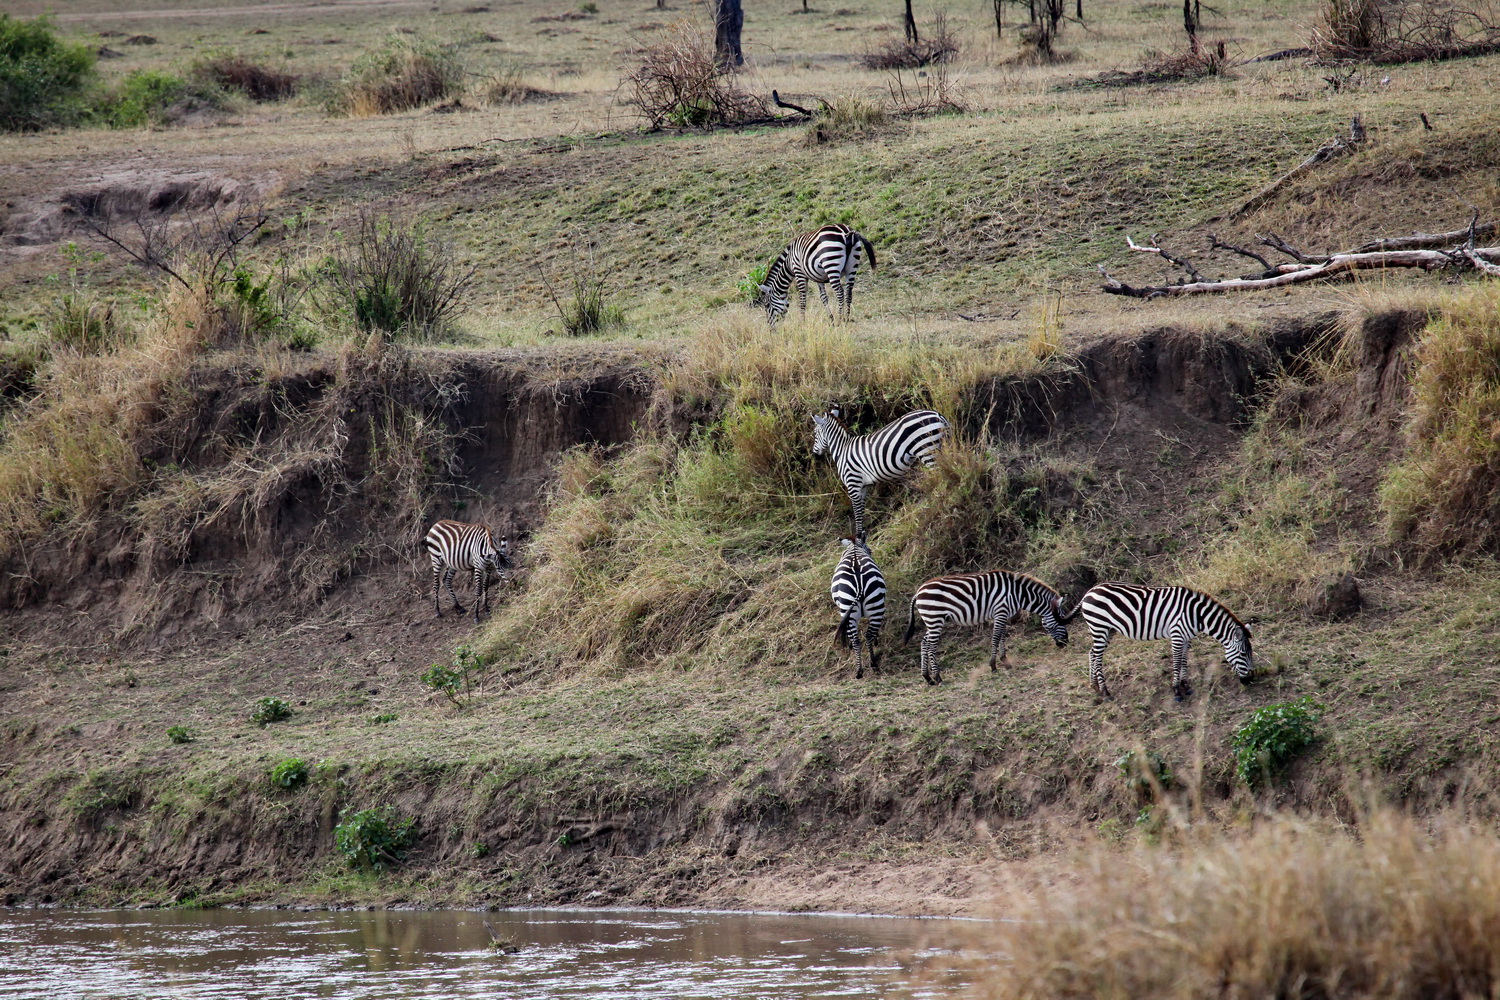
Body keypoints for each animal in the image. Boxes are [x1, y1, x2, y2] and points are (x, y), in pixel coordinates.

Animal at [816, 401, 942, 539]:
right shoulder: (863, 486)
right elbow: (861, 509)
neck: (842, 449)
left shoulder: (853, 483)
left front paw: (858, 535)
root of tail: (937, 414)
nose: (815, 454)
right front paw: (862, 533)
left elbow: (856, 511)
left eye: (815, 433)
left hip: (927, 450)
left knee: (940, 475)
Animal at [828, 530, 882, 680]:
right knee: (866, 636)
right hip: (874, 608)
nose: (871, 552)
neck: (853, 549)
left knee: (858, 638)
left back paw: (861, 669)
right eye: (870, 551)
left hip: (849, 609)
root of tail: (859, 586)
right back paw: (870, 665)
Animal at [900, 569, 1068, 689]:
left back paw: (927, 678)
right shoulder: (1000, 611)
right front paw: (993, 665)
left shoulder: (1002, 614)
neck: (1017, 593)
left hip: (932, 620)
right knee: (932, 647)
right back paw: (938, 677)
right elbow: (996, 637)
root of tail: (918, 591)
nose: (1065, 643)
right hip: (935, 618)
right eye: (1061, 620)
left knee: (924, 642)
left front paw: (1005, 661)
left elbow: (1002, 636)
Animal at [1062, 581, 1260, 701]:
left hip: (1107, 630)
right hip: (1100, 627)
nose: (1251, 680)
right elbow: (1177, 662)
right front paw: (1176, 691)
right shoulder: (1177, 634)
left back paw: (1094, 686)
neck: (1196, 614)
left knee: (1092, 653)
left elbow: (1184, 661)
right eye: (1244, 653)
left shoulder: (1186, 638)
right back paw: (1105, 691)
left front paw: (1185, 686)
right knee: (1097, 656)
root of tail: (1090, 591)